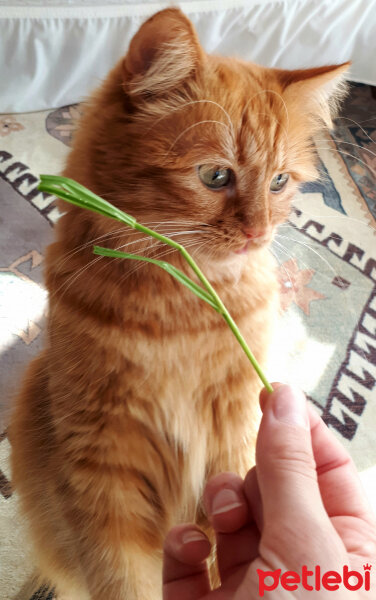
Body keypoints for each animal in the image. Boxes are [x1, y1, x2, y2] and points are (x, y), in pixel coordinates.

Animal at [10, 9, 348, 600]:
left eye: (280, 182)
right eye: (216, 176)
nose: (258, 232)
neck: (179, 314)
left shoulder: (233, 433)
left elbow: (218, 535)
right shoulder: (104, 464)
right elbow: (125, 578)